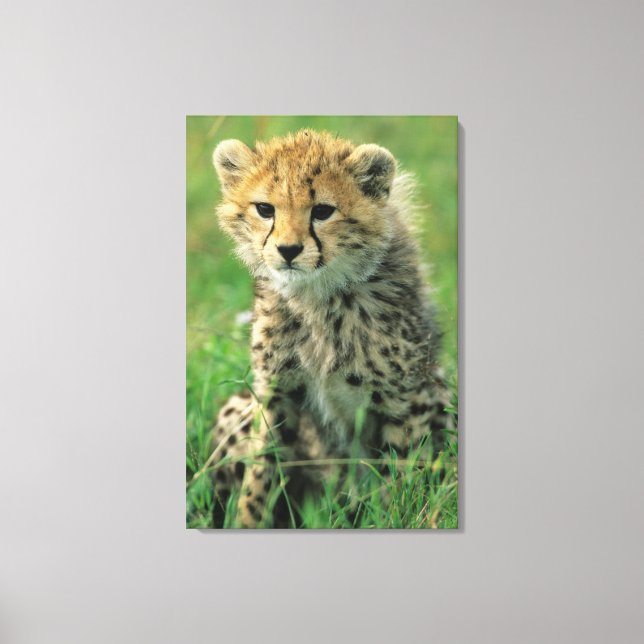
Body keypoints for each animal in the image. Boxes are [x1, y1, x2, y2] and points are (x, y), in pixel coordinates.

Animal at [209, 129, 455, 528]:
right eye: (265, 209)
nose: (288, 250)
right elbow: (262, 470)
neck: (317, 297)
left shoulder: (405, 398)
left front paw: (399, 518)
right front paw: (248, 521)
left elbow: (401, 475)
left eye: (323, 211)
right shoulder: (277, 391)